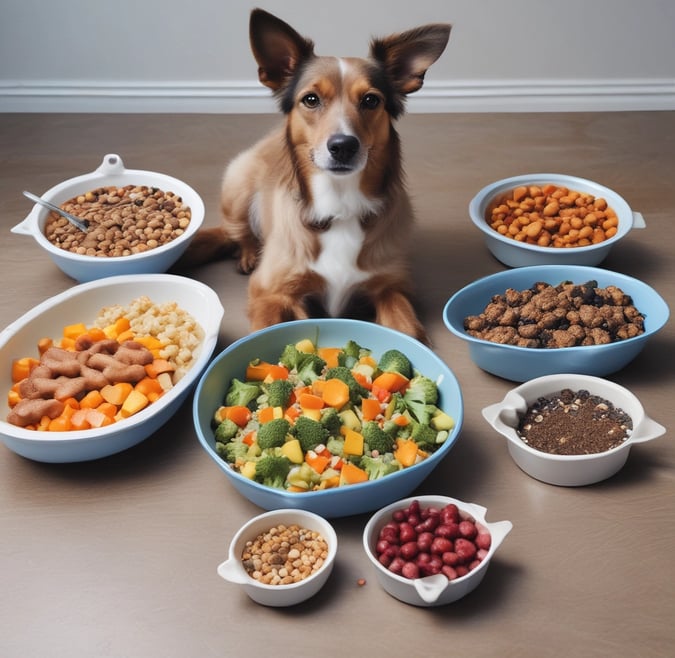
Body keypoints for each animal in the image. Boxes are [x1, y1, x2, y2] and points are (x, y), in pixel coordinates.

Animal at [186, 10, 448, 344]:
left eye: (371, 100)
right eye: (310, 99)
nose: (343, 146)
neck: (340, 205)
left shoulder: (393, 287)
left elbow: (409, 330)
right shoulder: (269, 292)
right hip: (238, 183)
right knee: (238, 235)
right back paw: (248, 254)